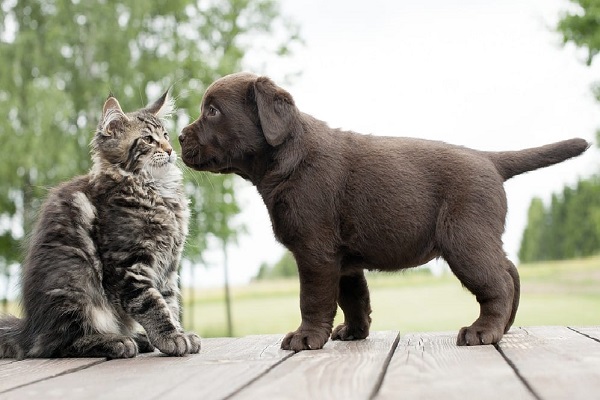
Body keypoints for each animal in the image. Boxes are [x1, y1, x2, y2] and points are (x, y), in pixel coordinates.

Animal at [0, 91, 202, 360]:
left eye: (166, 136)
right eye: (148, 139)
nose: (170, 150)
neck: (155, 190)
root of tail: (30, 329)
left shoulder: (168, 268)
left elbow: (169, 302)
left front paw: (178, 333)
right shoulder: (128, 266)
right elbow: (152, 304)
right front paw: (171, 338)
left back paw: (138, 338)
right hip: (76, 284)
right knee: (57, 345)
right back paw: (117, 341)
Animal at [179, 72, 592, 350]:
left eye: (212, 111)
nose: (179, 136)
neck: (287, 157)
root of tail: (488, 159)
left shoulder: (315, 251)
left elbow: (313, 299)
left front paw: (306, 337)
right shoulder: (343, 260)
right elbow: (353, 298)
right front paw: (353, 332)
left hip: (464, 239)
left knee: (499, 282)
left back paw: (483, 331)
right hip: (479, 237)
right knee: (510, 271)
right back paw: (503, 328)